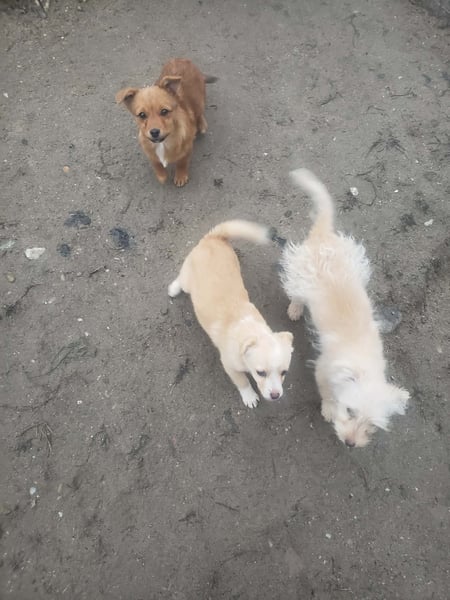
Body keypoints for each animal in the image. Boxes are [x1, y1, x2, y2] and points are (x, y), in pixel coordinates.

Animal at [116, 58, 216, 187]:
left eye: (164, 111)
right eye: (142, 115)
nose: (154, 132)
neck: (163, 143)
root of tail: (182, 59)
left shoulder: (187, 149)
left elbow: (182, 163)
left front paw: (180, 176)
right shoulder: (149, 152)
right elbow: (156, 163)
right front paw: (161, 175)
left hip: (199, 101)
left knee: (199, 114)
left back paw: (201, 124)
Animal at [168, 220, 294, 408]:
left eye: (284, 372)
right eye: (261, 373)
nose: (275, 395)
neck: (250, 330)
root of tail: (213, 237)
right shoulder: (229, 366)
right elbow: (243, 381)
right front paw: (249, 396)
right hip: (188, 282)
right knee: (180, 280)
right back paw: (173, 289)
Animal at [280, 169, 409, 447]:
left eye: (372, 426)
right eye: (350, 411)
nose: (350, 444)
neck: (364, 363)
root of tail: (323, 235)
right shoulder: (322, 370)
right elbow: (328, 393)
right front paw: (329, 409)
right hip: (300, 276)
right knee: (296, 294)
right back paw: (295, 308)